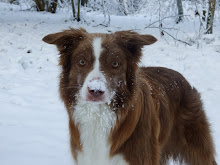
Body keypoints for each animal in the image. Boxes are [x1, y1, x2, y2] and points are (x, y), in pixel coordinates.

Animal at [42, 28, 217, 165]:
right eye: (82, 61)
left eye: (115, 64)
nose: (95, 91)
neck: (100, 116)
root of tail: (182, 79)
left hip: (196, 144)